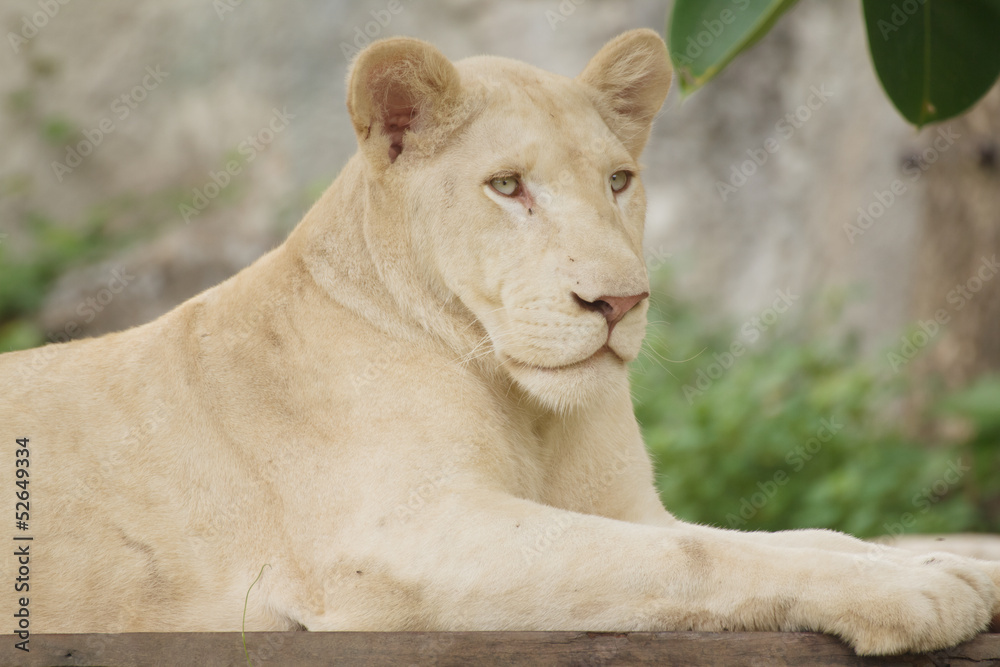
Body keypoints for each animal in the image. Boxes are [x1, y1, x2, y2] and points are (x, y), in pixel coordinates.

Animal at [2, 29, 999, 656]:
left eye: (619, 180)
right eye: (509, 186)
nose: (619, 300)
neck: (527, 406)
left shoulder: (628, 507)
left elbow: (799, 533)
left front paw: (948, 561)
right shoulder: (400, 546)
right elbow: (693, 557)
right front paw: (920, 592)